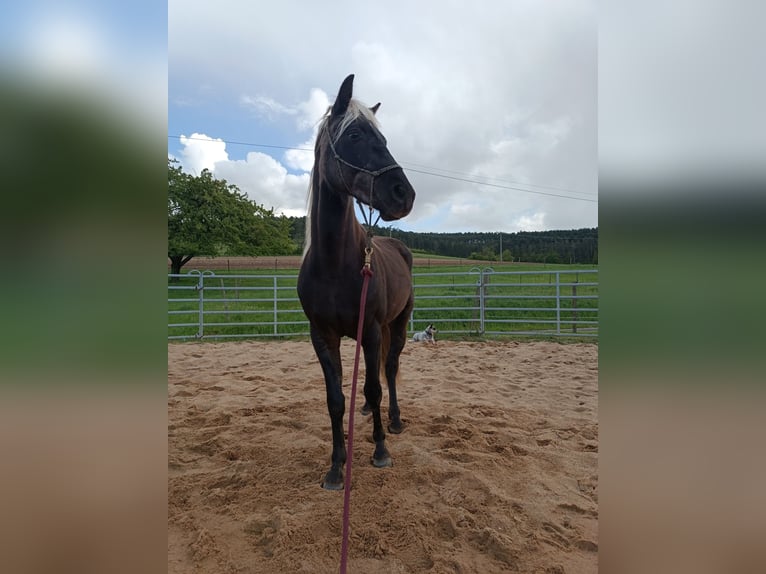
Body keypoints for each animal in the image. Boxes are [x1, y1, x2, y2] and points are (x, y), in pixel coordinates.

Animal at [296, 74, 416, 492]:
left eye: (384, 138)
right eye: (354, 136)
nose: (404, 194)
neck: (335, 263)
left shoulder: (374, 329)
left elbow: (376, 385)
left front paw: (380, 450)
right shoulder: (323, 337)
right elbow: (336, 399)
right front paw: (336, 466)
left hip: (397, 323)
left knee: (390, 369)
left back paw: (393, 420)